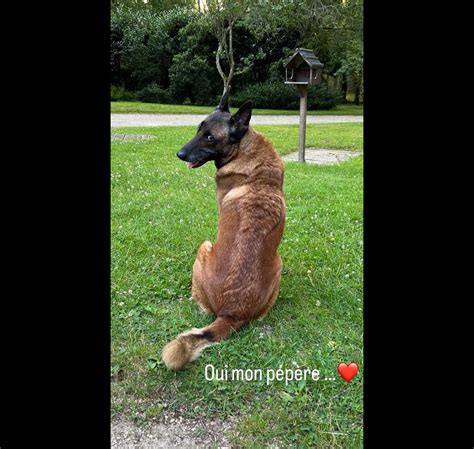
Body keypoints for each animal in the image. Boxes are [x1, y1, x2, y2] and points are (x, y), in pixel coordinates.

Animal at [162, 86, 286, 368]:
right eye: (198, 129)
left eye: (209, 137)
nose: (179, 155)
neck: (244, 152)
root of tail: (231, 312)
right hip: (278, 265)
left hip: (205, 248)